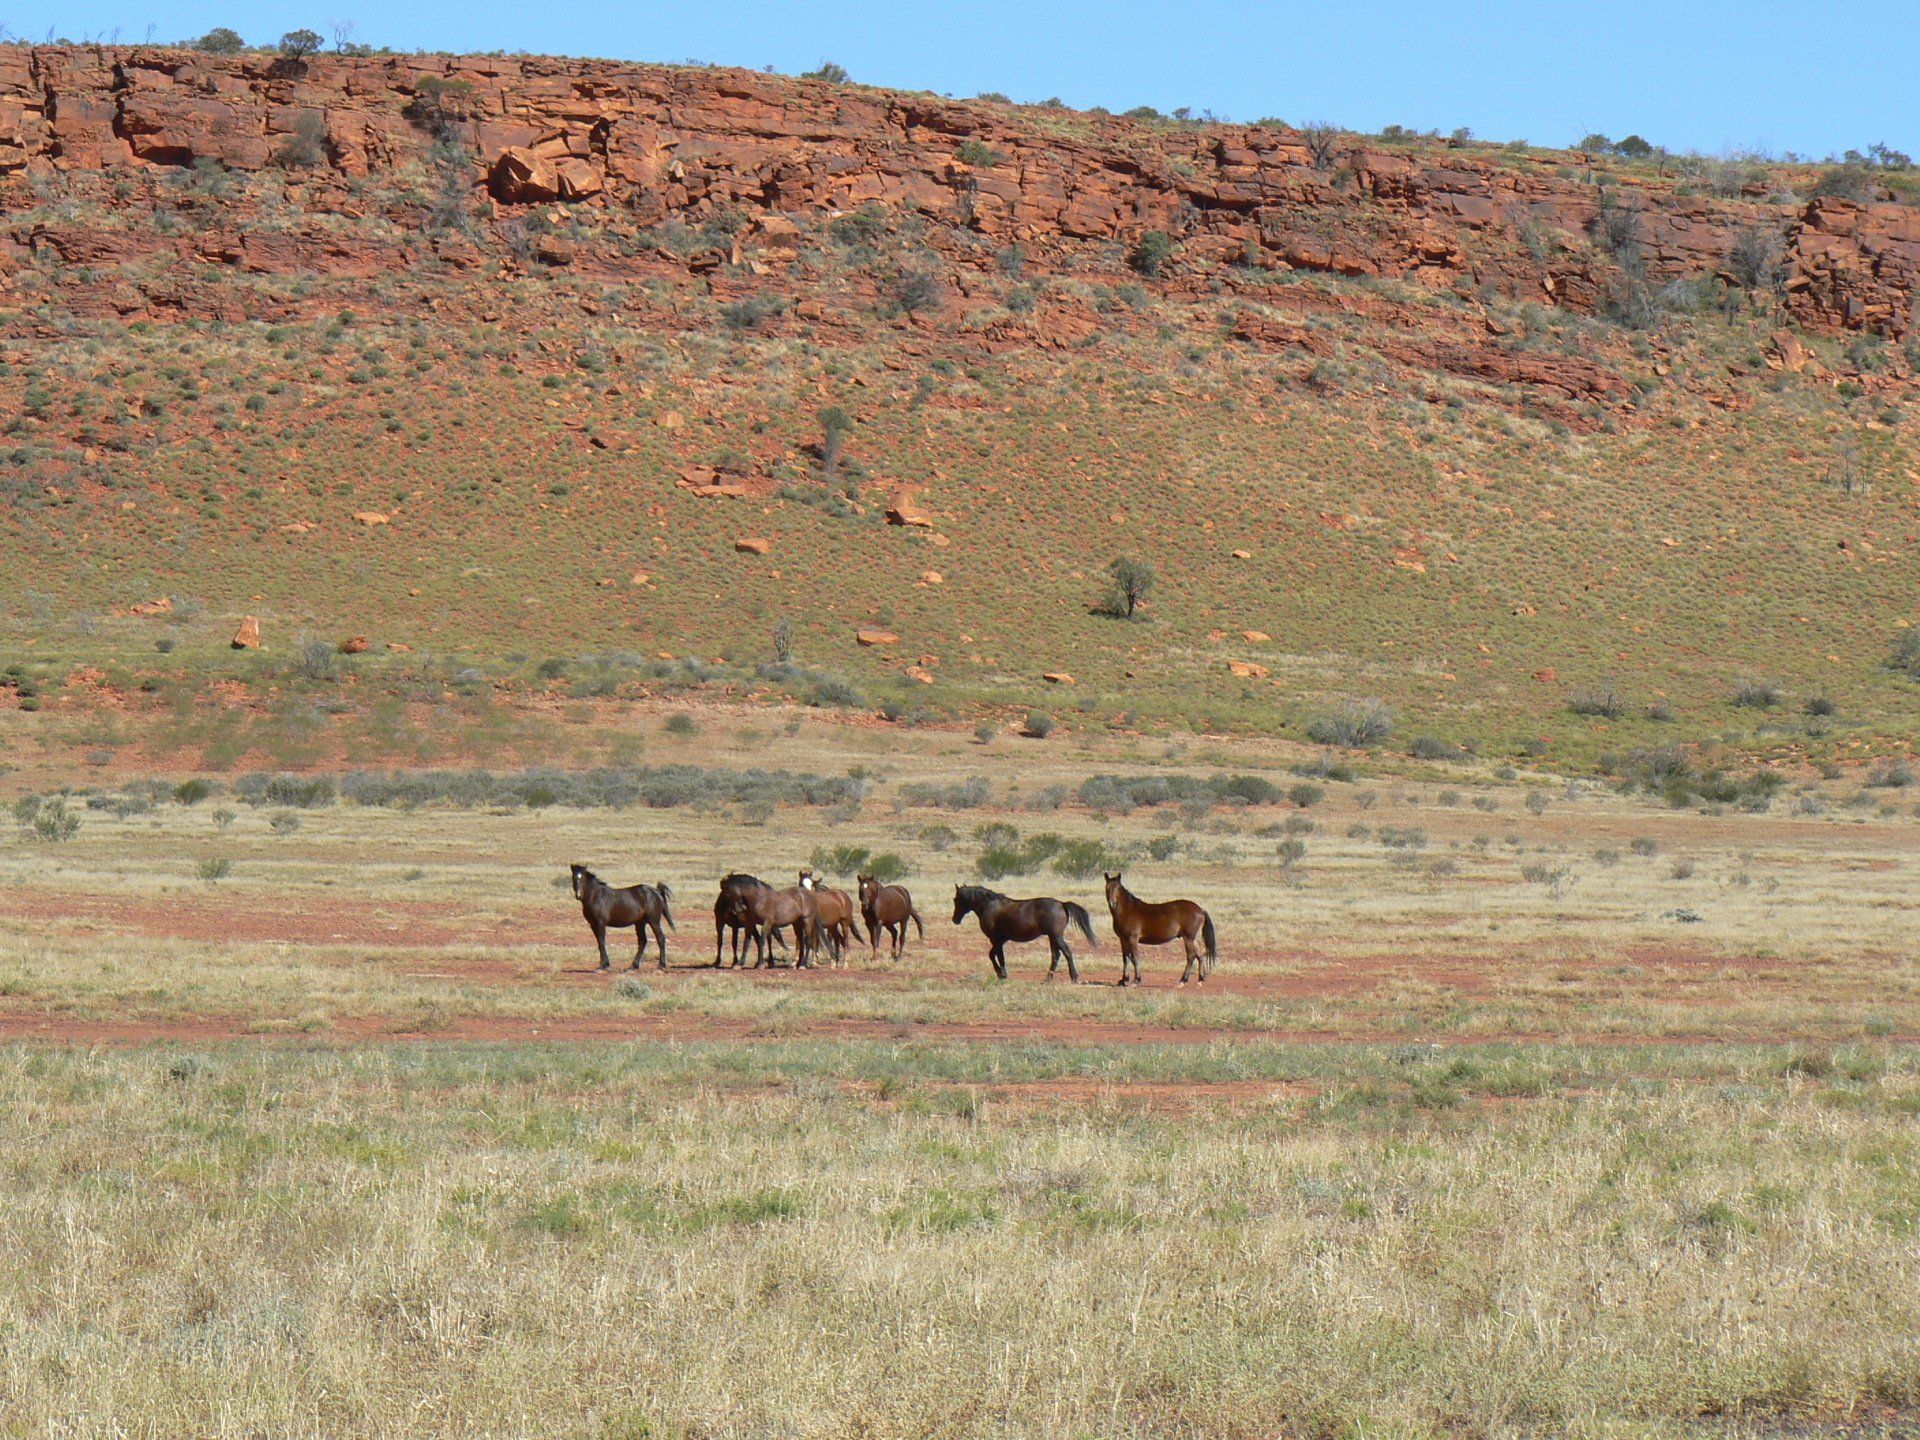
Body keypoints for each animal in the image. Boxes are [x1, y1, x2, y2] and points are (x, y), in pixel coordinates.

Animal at [951, 884, 1096, 982]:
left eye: (956, 899)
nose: (954, 920)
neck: (989, 906)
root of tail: (1062, 904)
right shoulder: (1001, 940)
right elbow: (992, 955)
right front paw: (999, 973)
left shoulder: (995, 939)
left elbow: (998, 956)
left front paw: (1002, 974)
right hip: (1052, 937)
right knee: (1056, 955)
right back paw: (1048, 978)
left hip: (1056, 936)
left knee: (1066, 952)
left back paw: (1074, 977)